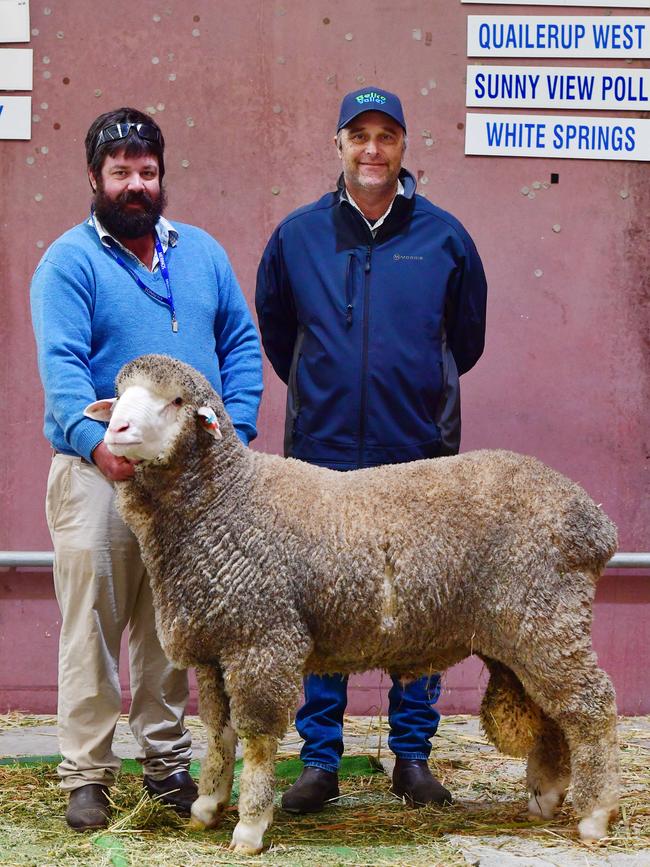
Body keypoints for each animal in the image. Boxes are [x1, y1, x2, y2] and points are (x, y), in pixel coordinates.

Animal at [85, 352, 616, 856]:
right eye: (120, 394)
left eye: (175, 401)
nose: (116, 431)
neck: (225, 502)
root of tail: (594, 522)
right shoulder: (218, 647)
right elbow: (219, 733)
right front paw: (207, 806)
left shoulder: (263, 639)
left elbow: (256, 741)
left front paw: (250, 827)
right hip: (521, 633)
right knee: (553, 714)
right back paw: (546, 798)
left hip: (546, 618)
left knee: (592, 706)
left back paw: (596, 815)